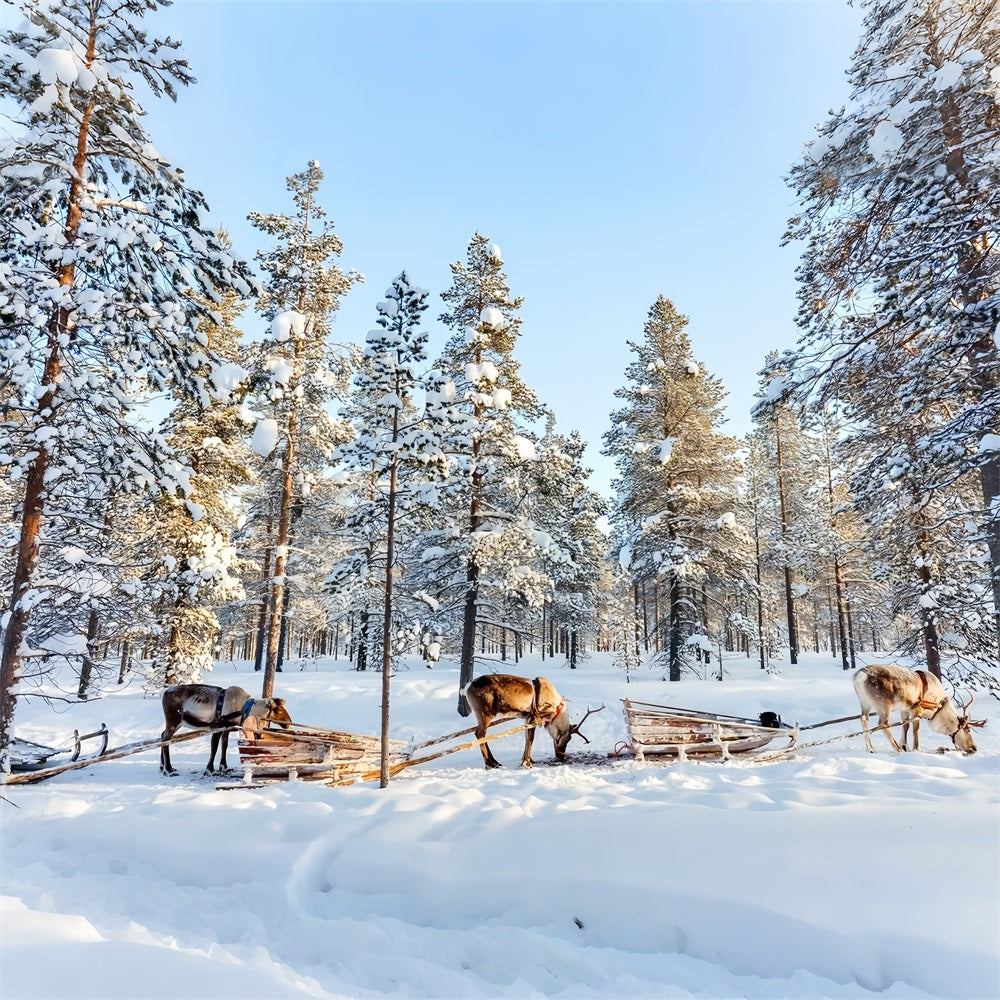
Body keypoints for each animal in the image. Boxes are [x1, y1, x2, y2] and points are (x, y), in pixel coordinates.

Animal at [160, 684, 292, 775]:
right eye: (278, 710)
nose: (289, 723)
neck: (245, 709)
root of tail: (165, 693)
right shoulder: (218, 727)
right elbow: (214, 748)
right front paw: (210, 769)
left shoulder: (226, 729)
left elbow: (224, 746)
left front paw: (224, 767)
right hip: (173, 722)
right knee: (166, 740)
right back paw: (169, 769)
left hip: (177, 724)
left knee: (162, 735)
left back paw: (162, 766)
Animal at [463, 673, 602, 769]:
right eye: (566, 738)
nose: (561, 757)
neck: (555, 711)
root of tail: (467, 687)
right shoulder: (535, 718)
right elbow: (531, 739)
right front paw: (527, 763)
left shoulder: (527, 718)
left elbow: (527, 739)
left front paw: (527, 760)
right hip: (485, 714)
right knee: (479, 734)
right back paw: (490, 764)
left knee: (481, 735)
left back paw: (495, 762)